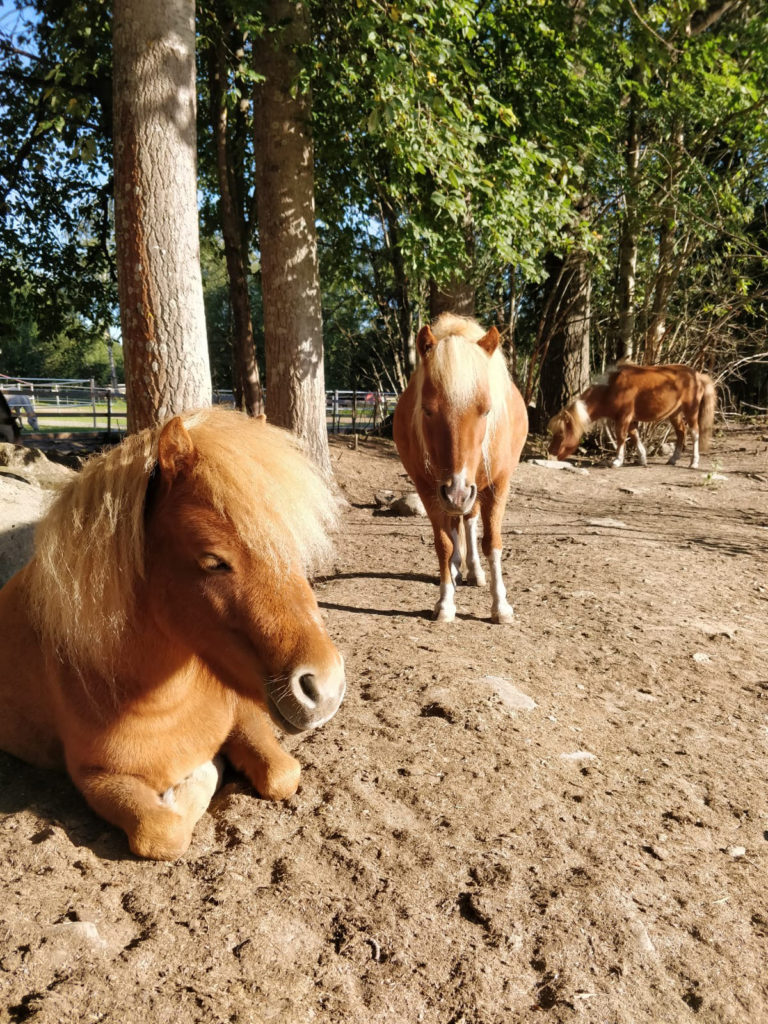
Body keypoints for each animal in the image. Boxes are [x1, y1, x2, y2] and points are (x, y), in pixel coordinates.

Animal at [0, 405, 346, 856]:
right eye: (213, 560)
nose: (326, 689)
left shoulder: (244, 714)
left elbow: (282, 773)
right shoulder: (95, 777)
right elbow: (163, 831)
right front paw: (200, 775)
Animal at [397, 311, 528, 618]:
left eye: (487, 410)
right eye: (427, 410)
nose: (456, 491)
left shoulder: (497, 485)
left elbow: (492, 543)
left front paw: (501, 605)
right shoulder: (428, 488)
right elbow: (444, 544)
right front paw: (445, 602)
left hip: (475, 490)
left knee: (469, 521)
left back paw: (475, 571)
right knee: (456, 525)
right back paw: (457, 567)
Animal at [548, 362, 720, 468]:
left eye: (561, 434)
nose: (550, 453)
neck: (611, 388)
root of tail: (697, 375)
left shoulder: (623, 418)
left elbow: (621, 437)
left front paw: (617, 461)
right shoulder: (630, 419)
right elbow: (635, 436)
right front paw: (642, 459)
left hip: (691, 410)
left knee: (694, 433)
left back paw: (694, 462)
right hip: (675, 414)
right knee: (681, 433)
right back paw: (673, 459)